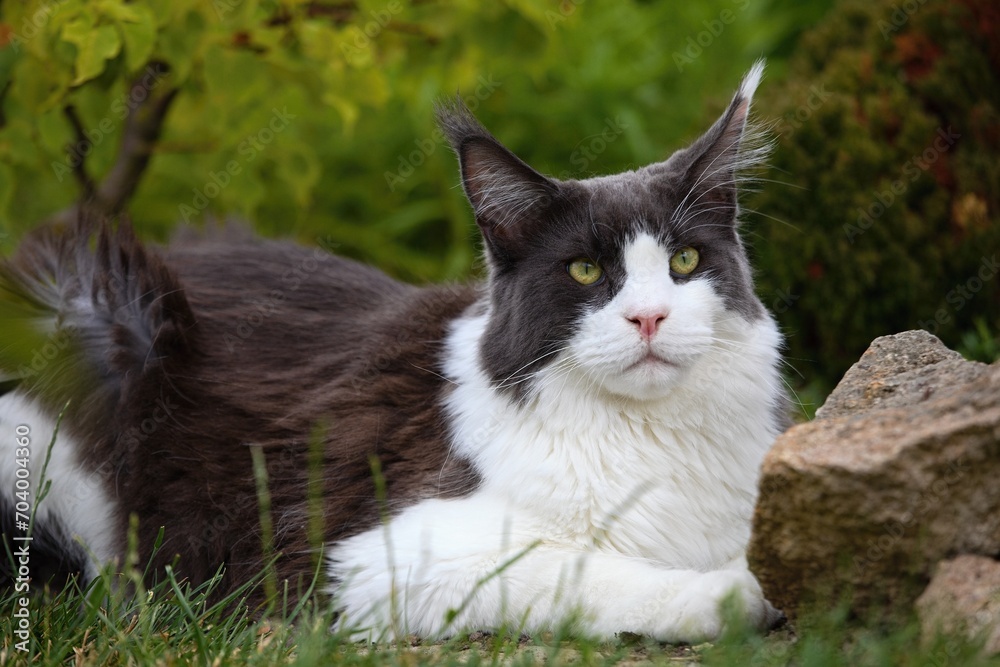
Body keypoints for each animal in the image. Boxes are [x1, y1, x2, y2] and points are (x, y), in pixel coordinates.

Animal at [1, 61, 788, 640]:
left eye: (684, 262)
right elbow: (581, 572)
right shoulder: (374, 560)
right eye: (587, 272)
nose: (650, 316)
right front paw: (729, 593)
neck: (649, 433)